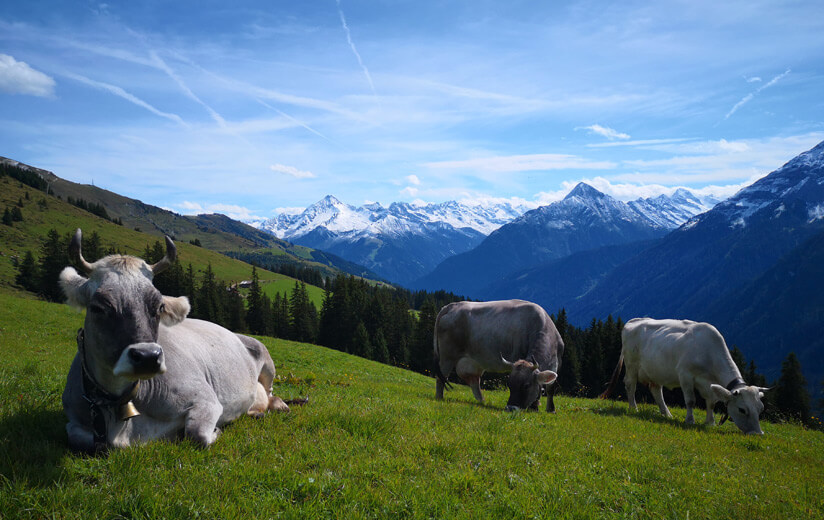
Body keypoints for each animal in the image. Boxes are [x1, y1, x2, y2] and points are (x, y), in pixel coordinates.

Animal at [60, 230, 290, 452]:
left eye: (159, 307)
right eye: (97, 307)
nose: (147, 357)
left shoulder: (206, 400)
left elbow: (197, 435)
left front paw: (216, 430)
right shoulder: (76, 420)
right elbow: (77, 438)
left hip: (267, 361)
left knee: (269, 393)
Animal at [434, 298, 564, 412]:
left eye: (526, 386)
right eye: (509, 385)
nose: (511, 408)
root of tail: (452, 305)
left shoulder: (557, 364)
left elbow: (550, 388)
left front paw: (549, 409)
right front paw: (536, 407)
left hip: (472, 362)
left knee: (474, 380)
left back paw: (482, 401)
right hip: (447, 355)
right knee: (441, 376)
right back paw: (439, 398)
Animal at [600, 316, 768, 434]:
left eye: (760, 409)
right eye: (742, 410)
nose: (758, 433)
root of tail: (634, 320)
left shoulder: (709, 383)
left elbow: (711, 402)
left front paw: (710, 422)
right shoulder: (685, 375)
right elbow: (690, 401)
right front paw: (690, 420)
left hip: (656, 369)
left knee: (656, 389)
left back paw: (666, 414)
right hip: (632, 364)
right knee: (630, 384)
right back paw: (633, 408)